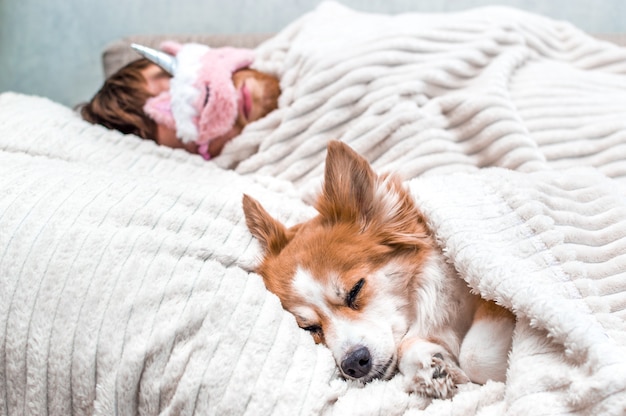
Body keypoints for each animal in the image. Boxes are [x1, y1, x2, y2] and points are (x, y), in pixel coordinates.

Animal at [240, 141, 512, 398]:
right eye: (309, 328)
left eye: (355, 290)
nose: (353, 364)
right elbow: (407, 349)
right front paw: (430, 368)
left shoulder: (489, 299)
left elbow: (474, 355)